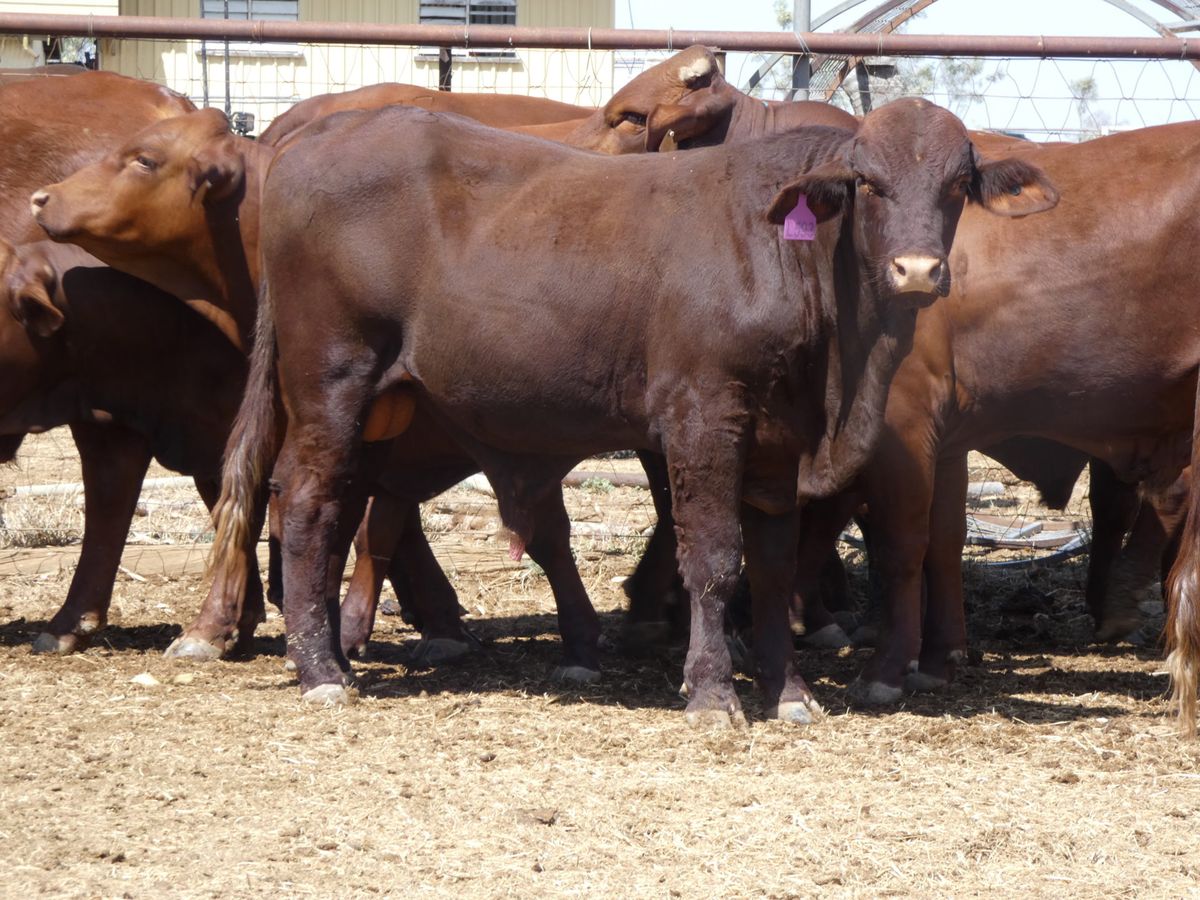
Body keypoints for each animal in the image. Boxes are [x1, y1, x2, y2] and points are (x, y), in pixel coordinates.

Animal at [34, 98, 1052, 721]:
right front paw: (713, 694)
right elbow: (713, 560)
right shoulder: (703, 417)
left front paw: (791, 690)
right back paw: (322, 672)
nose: (917, 271)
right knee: (309, 500)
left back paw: (333, 657)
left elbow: (770, 567)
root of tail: (315, 144)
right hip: (331, 376)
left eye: (957, 184)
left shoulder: (777, 441)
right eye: (868, 184)